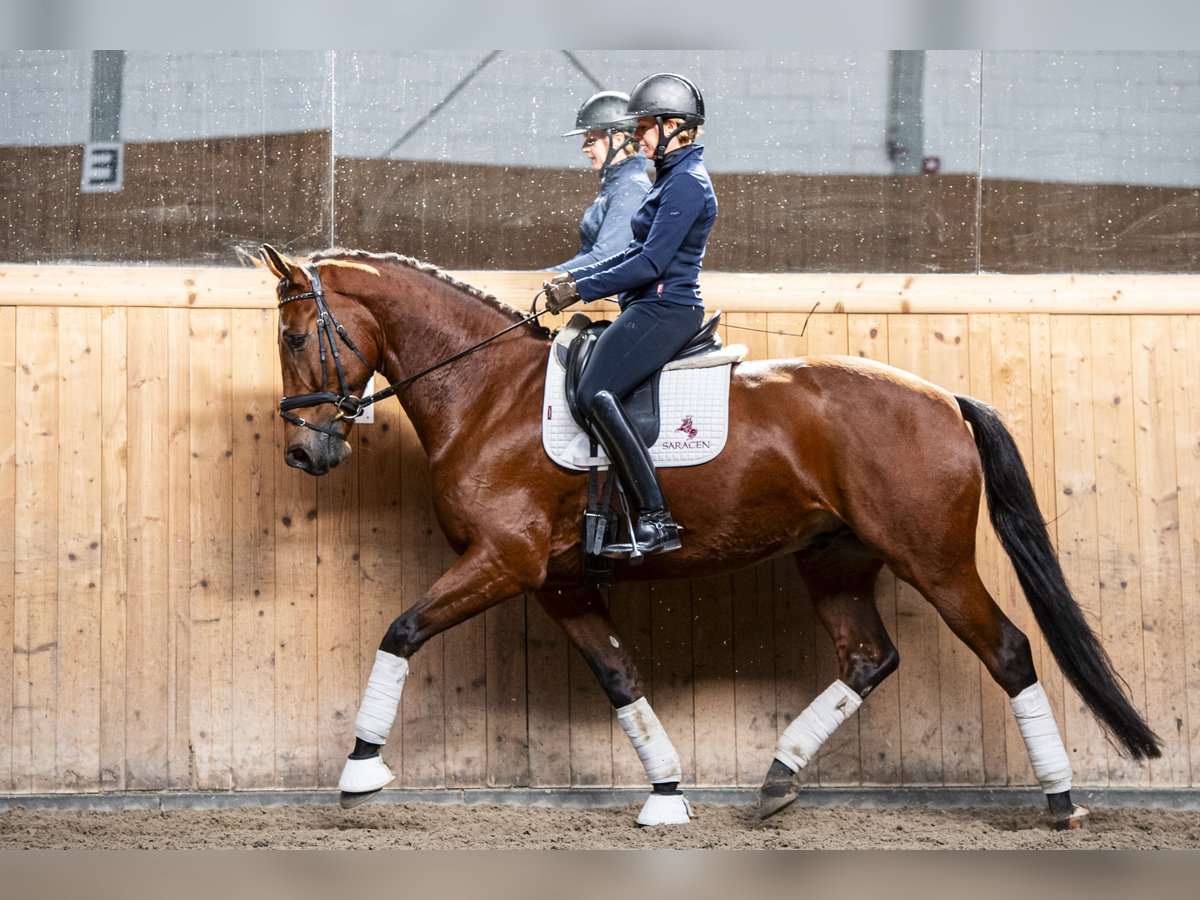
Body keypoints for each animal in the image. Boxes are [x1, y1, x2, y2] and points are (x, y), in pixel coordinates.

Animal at [258, 244, 1156, 830]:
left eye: (297, 337)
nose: (305, 453)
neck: (485, 393)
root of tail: (943, 397)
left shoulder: (502, 561)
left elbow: (401, 631)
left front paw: (360, 770)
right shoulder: (559, 581)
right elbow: (620, 677)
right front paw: (666, 795)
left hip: (930, 558)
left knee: (1007, 649)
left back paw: (1062, 801)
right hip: (835, 559)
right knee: (868, 658)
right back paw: (778, 779)